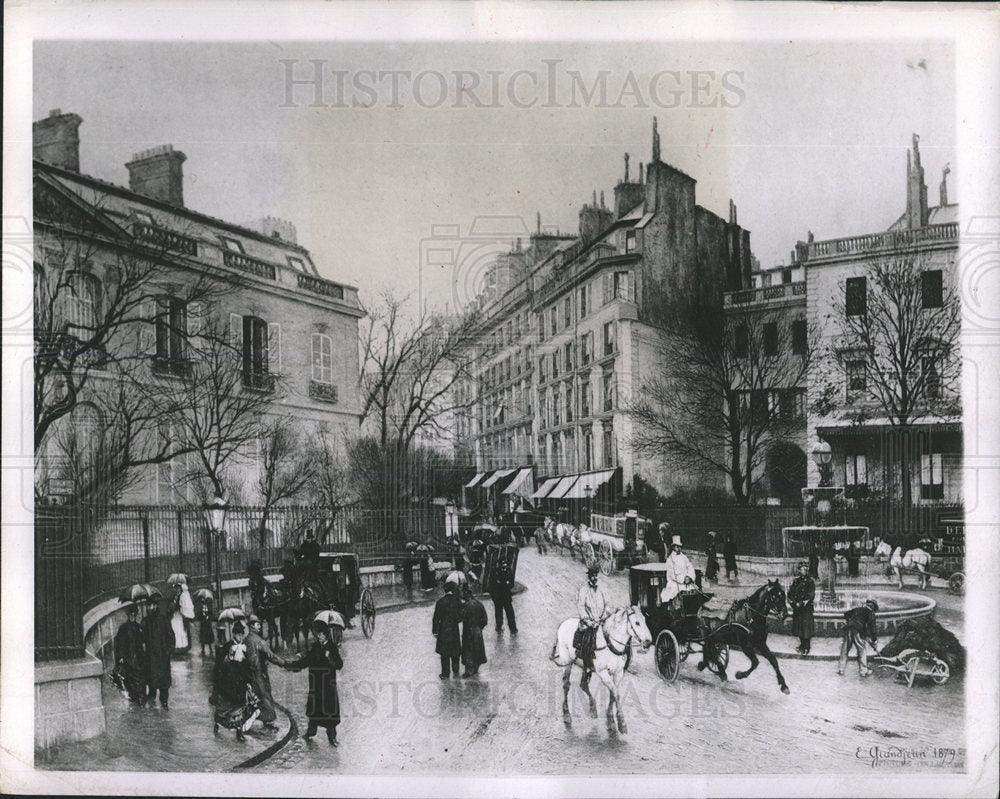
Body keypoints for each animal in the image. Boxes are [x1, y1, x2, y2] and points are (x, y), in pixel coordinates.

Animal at [552, 608, 652, 736]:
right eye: (637, 623)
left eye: (645, 621)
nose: (648, 642)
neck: (610, 644)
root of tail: (563, 623)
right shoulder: (603, 673)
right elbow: (616, 694)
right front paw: (622, 723)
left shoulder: (618, 673)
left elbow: (613, 694)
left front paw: (611, 721)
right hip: (567, 662)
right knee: (566, 685)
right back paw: (566, 714)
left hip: (585, 664)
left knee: (583, 684)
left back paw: (593, 708)